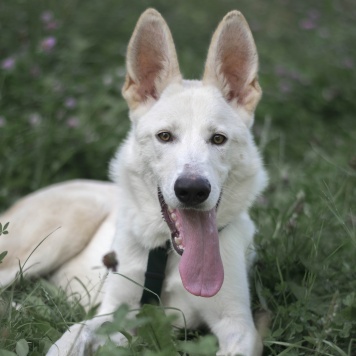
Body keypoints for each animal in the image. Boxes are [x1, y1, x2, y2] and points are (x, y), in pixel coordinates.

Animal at [0, 8, 268, 356]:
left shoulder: (238, 325)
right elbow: (72, 334)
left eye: (218, 139)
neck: (167, 255)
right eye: (165, 136)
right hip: (56, 234)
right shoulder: (116, 312)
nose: (192, 190)